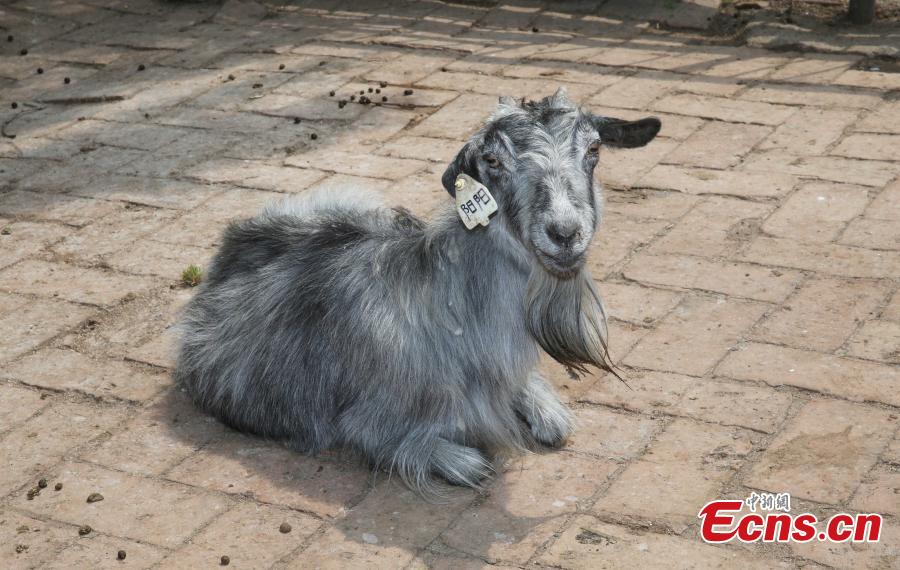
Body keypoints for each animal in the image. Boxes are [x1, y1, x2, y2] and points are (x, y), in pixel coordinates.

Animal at [174, 88, 661, 493]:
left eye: (594, 149)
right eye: (494, 161)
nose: (564, 233)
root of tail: (231, 247)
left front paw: (543, 407)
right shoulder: (365, 420)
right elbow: (429, 453)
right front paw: (462, 459)